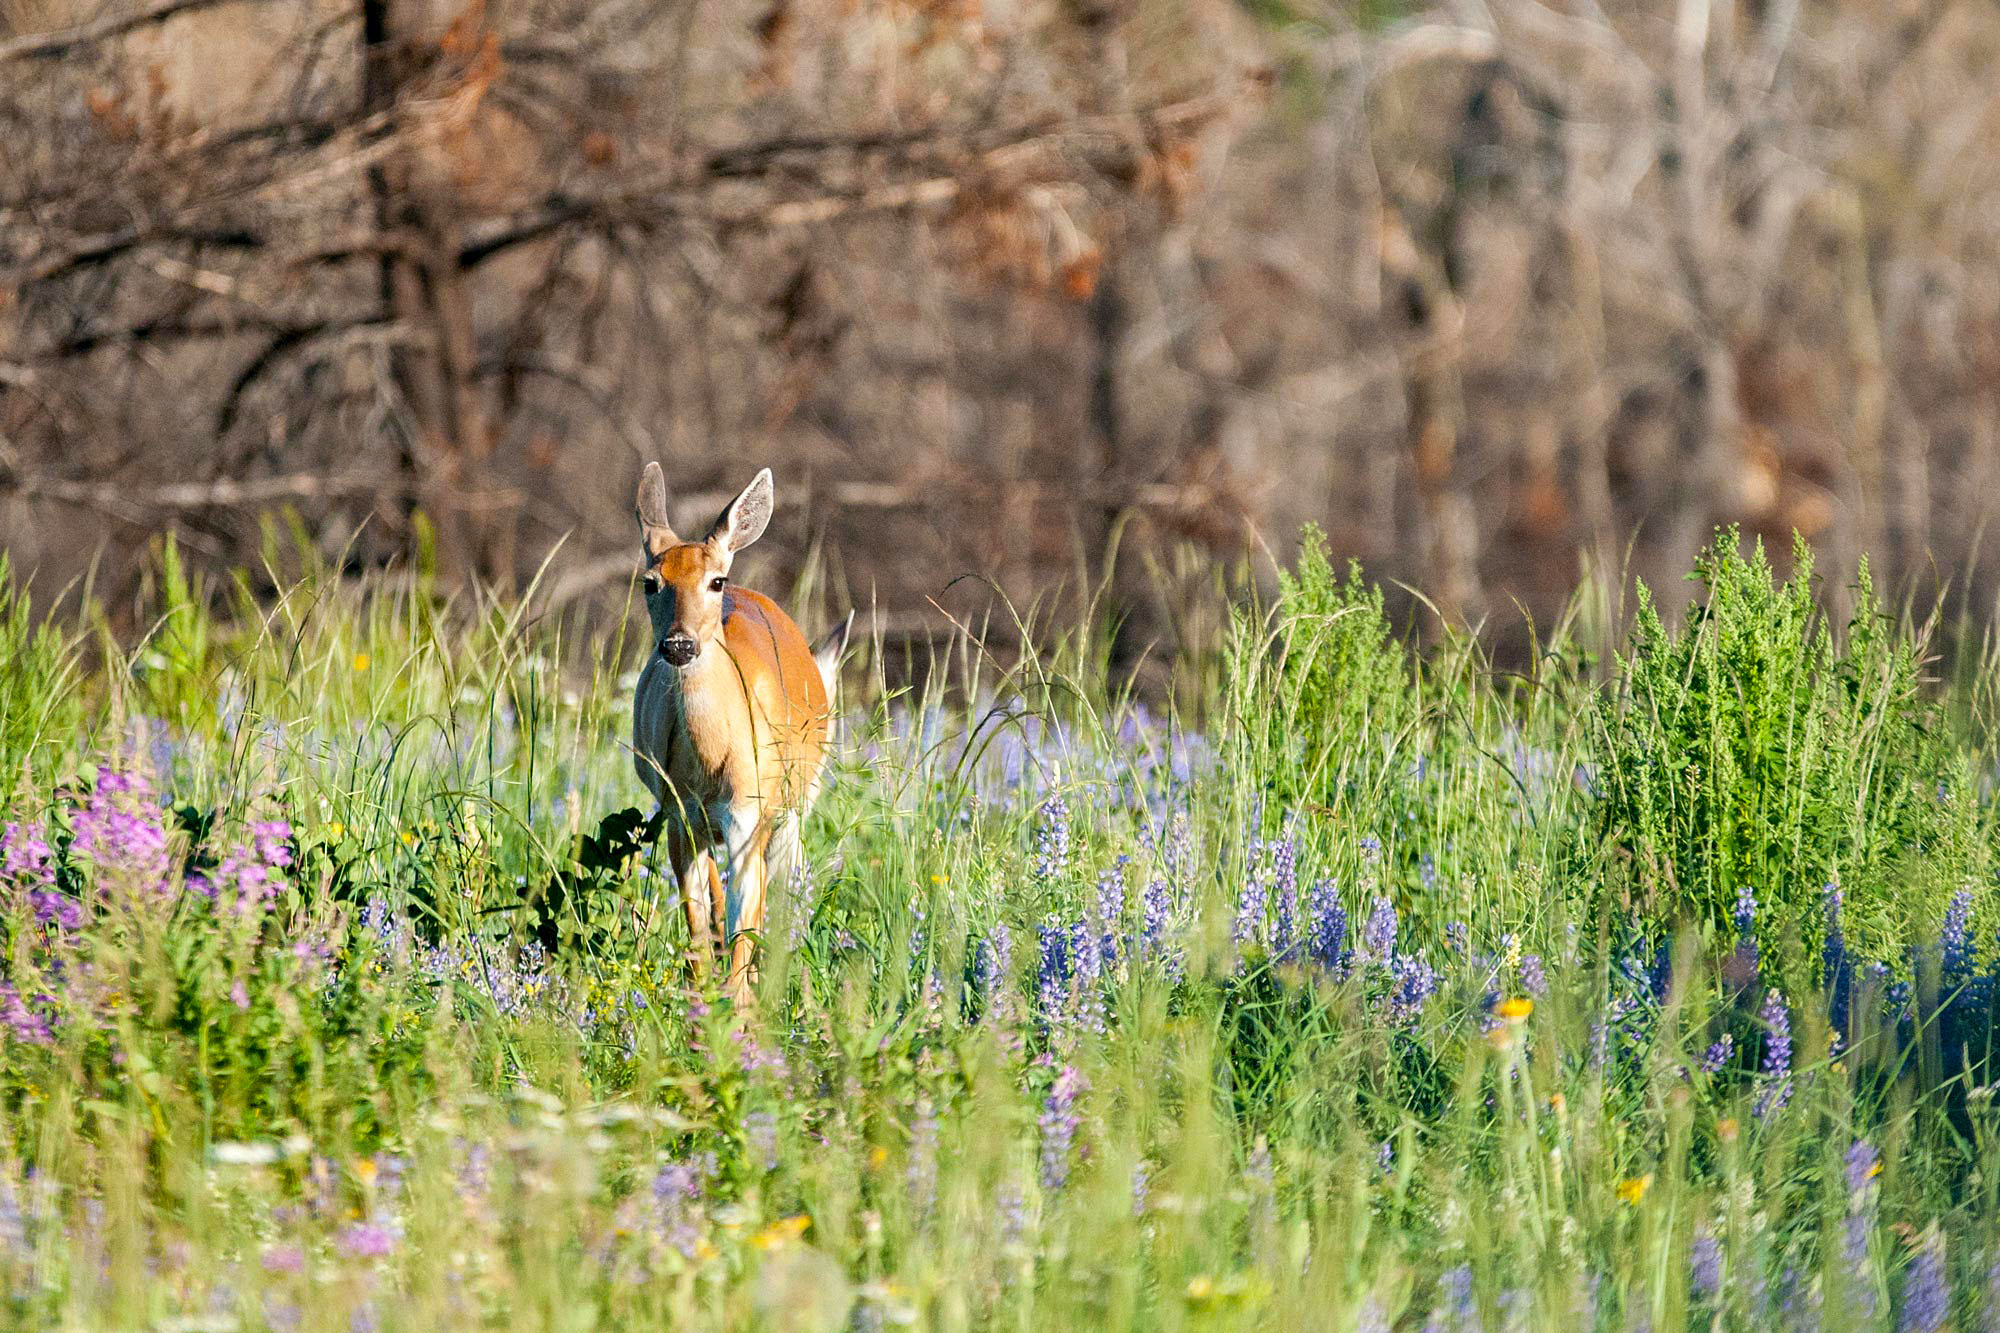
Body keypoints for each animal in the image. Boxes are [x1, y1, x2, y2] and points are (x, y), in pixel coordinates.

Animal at [632, 462, 852, 1000]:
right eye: (650, 582)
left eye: (716, 580)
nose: (680, 644)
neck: (710, 765)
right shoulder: (678, 815)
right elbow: (698, 925)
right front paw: (703, 1002)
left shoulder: (750, 814)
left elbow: (745, 927)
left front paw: (742, 1004)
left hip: (795, 802)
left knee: (777, 898)